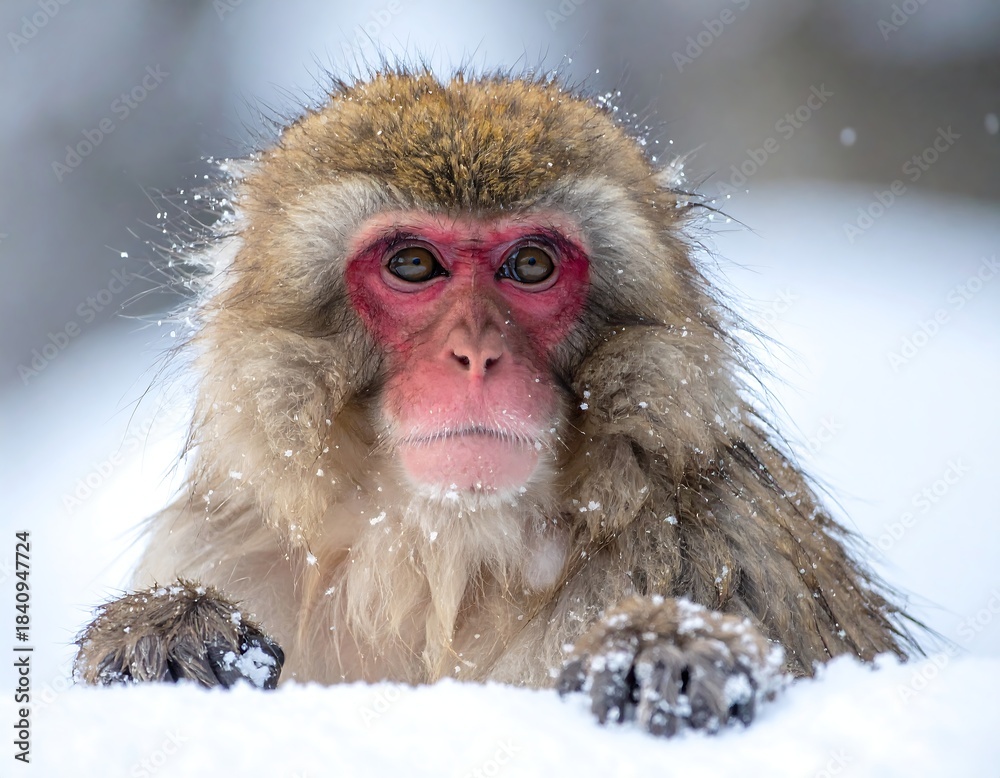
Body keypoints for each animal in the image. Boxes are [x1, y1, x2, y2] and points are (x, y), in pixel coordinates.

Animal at [74, 67, 919, 736]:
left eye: (531, 264)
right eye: (414, 264)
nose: (477, 356)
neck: (442, 558)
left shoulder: (730, 546)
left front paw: (664, 655)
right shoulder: (228, 545)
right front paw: (163, 637)